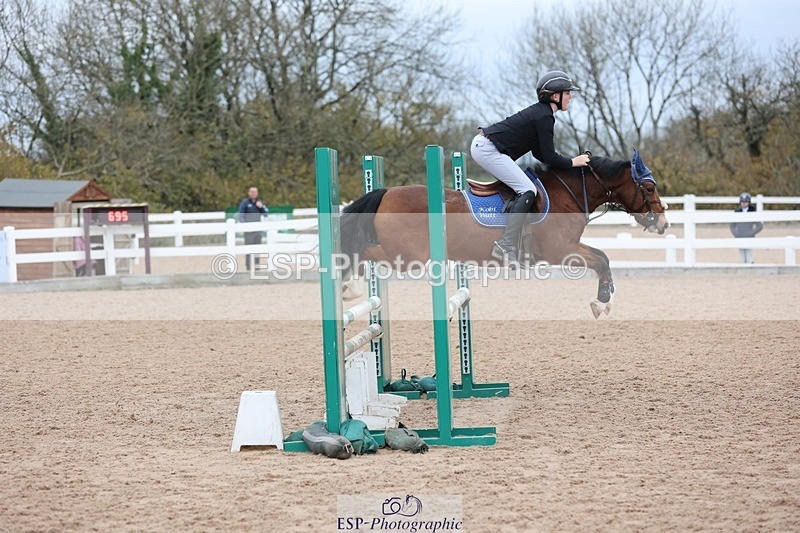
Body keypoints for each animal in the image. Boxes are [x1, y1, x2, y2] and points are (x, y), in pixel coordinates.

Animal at [338, 150, 670, 317]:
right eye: (648, 187)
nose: (664, 223)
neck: (568, 192)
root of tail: (385, 192)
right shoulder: (561, 250)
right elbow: (600, 259)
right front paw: (601, 301)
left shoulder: (569, 247)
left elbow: (603, 257)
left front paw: (605, 298)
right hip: (409, 256)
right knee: (360, 250)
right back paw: (350, 287)